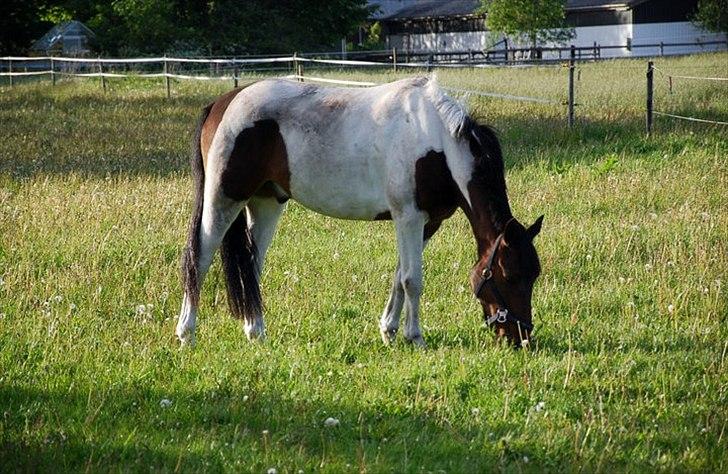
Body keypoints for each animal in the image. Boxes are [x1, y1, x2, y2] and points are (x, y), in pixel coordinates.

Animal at [175, 76, 543, 348]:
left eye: (534, 275)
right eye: (509, 275)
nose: (520, 338)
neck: (437, 142)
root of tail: (223, 103)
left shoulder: (428, 223)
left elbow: (399, 276)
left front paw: (389, 331)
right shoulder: (408, 218)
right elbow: (412, 280)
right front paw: (415, 337)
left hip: (264, 205)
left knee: (251, 267)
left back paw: (256, 332)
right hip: (223, 201)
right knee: (200, 259)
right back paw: (187, 333)